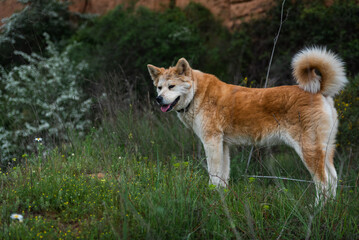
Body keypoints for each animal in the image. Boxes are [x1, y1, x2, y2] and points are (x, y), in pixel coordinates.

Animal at [148, 47, 348, 204]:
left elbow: (213, 174)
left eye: (171, 86)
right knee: (333, 179)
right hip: (325, 150)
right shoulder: (223, 145)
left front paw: (211, 197)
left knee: (323, 182)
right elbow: (223, 177)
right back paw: (330, 208)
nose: (158, 99)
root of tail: (320, 92)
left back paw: (317, 209)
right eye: (159, 87)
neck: (199, 94)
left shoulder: (212, 142)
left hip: (308, 150)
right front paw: (221, 198)